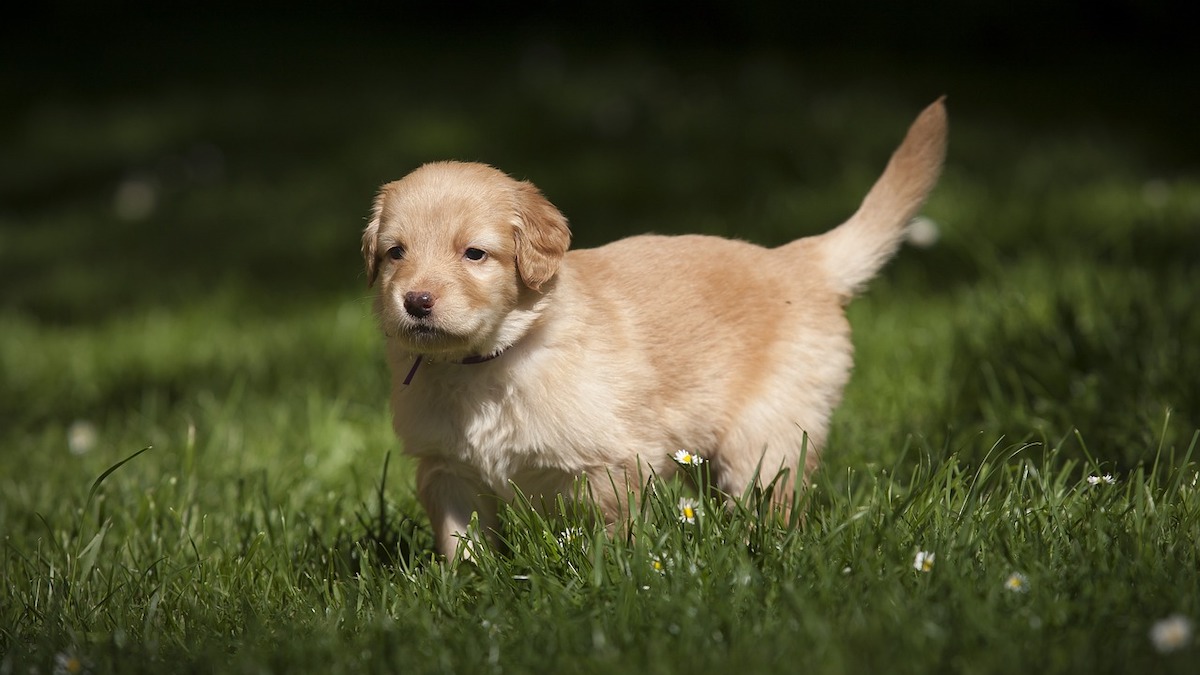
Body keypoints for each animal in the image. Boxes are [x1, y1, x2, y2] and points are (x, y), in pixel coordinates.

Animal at [357, 97, 945, 554]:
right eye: (395, 253)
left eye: (474, 254)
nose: (417, 301)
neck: (488, 361)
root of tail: (798, 259)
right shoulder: (447, 471)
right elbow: (463, 545)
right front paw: (466, 591)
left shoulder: (613, 463)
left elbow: (616, 535)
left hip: (765, 436)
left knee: (773, 500)